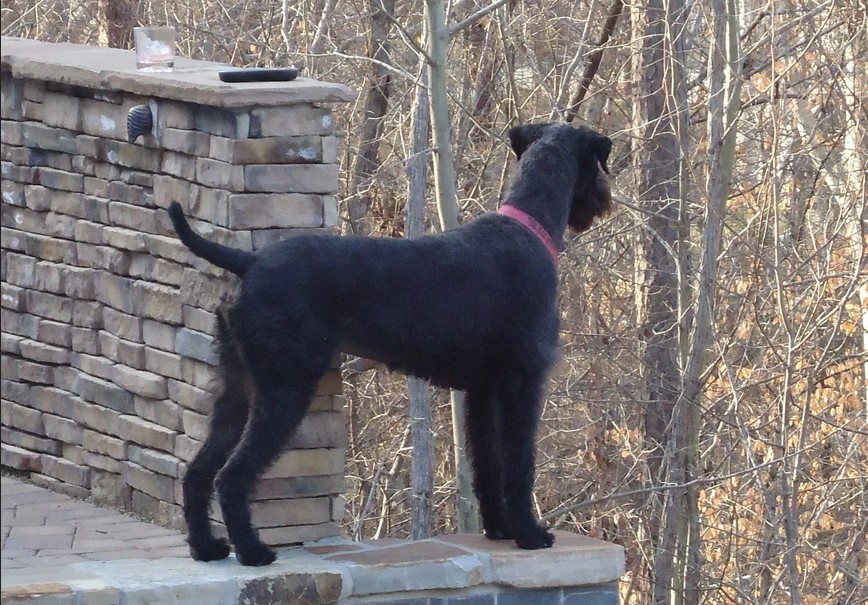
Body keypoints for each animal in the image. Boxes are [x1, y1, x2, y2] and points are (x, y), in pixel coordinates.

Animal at [170, 122, 612, 568]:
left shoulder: (483, 392)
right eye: (597, 165)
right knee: (231, 476)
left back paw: (205, 547)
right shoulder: (523, 382)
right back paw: (252, 551)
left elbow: (487, 463)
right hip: (283, 389)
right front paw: (529, 534)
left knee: (198, 471)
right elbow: (519, 463)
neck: (528, 226)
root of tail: (250, 262)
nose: (603, 200)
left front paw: (499, 528)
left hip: (238, 387)